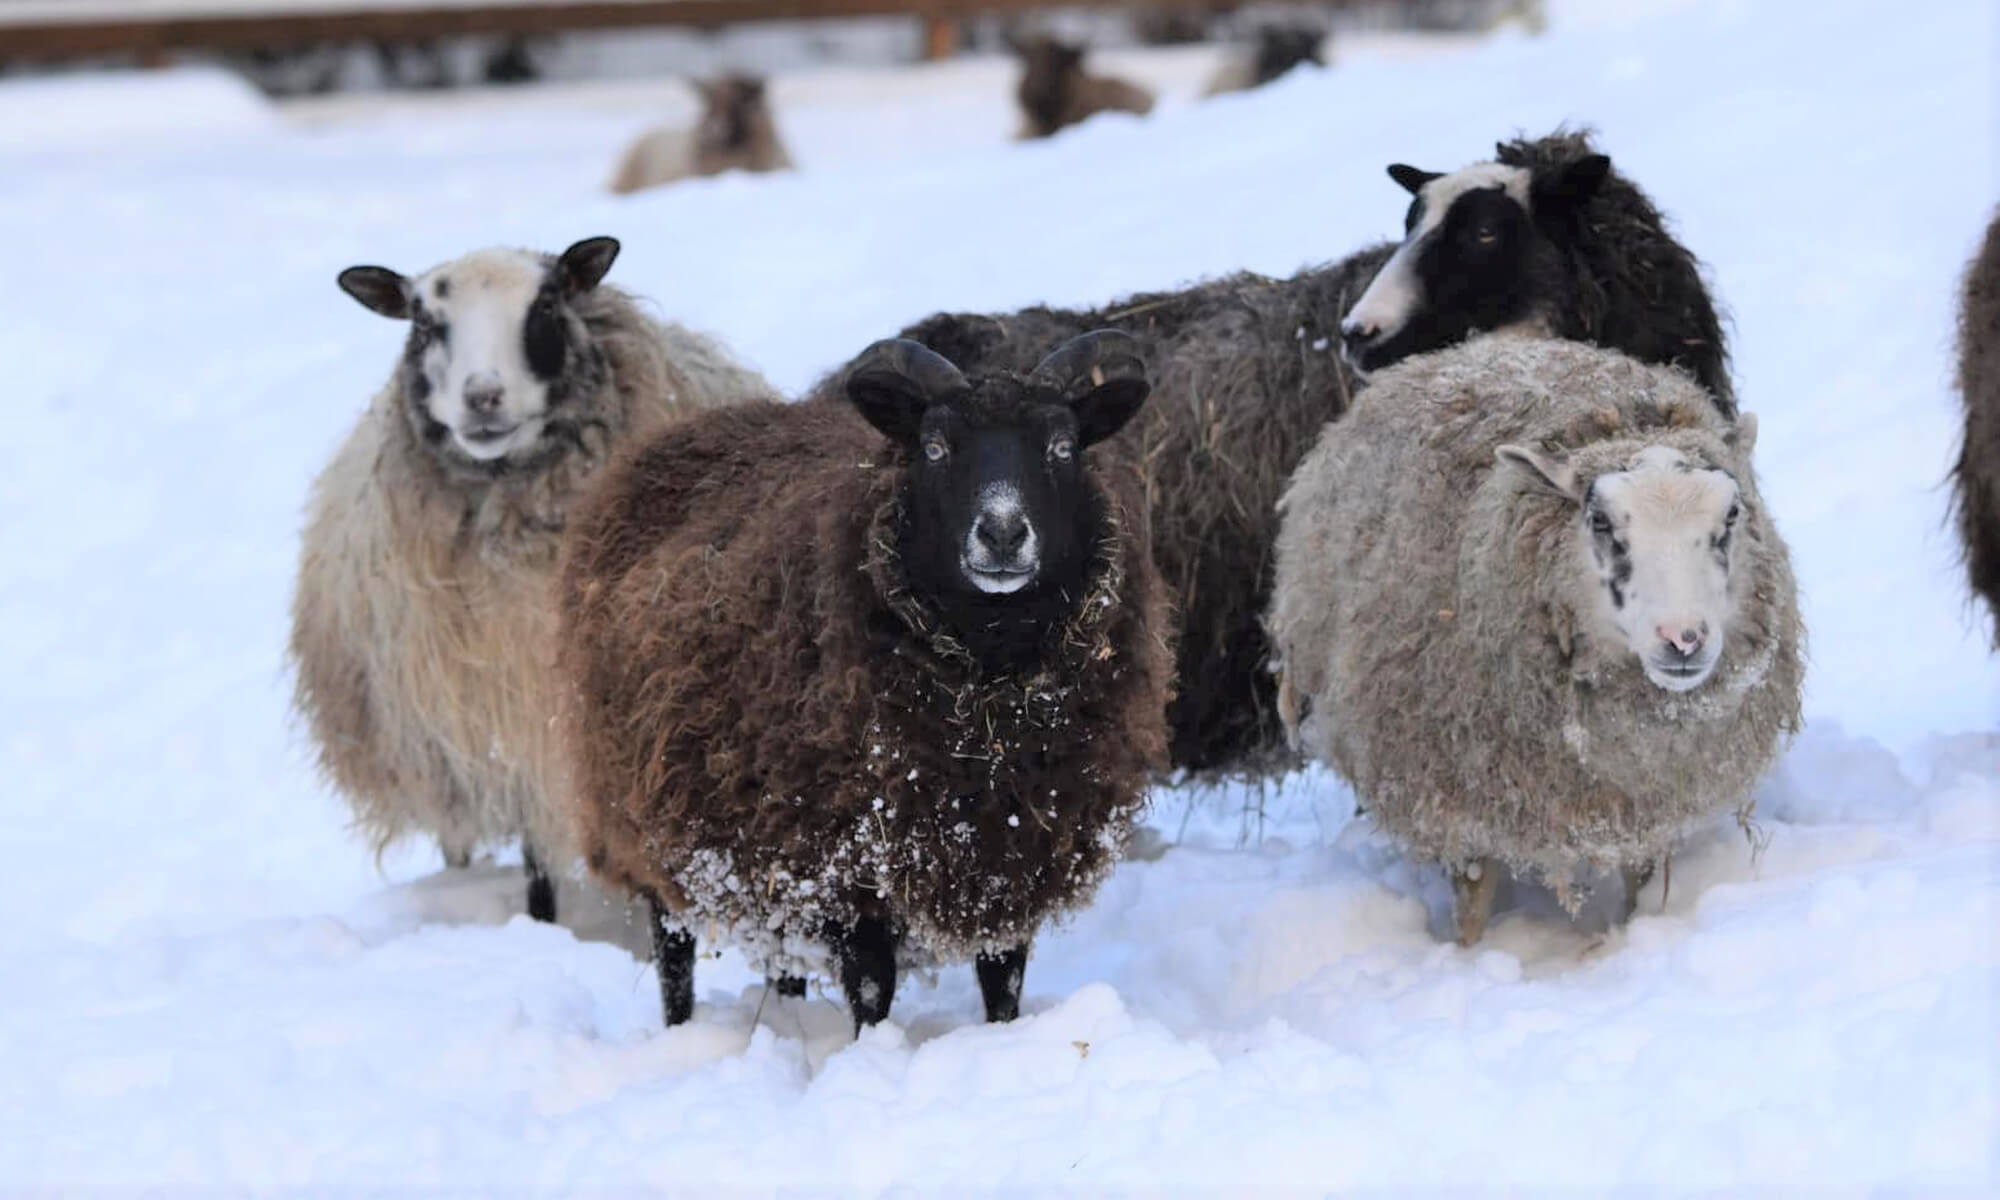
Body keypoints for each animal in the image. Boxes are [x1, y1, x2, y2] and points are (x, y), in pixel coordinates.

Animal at [554, 331, 1174, 1031]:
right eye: (934, 446)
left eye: (1062, 445)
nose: (1003, 532)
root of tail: (670, 437)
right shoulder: (849, 870)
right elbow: (873, 992)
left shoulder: (1010, 863)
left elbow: (1003, 986)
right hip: (646, 821)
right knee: (673, 954)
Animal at [1267, 336, 1805, 945]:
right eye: (1601, 522)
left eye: (1731, 515)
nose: (1683, 640)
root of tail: (1477, 343)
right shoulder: (1458, 797)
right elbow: (1473, 900)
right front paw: (1468, 956)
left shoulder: (1644, 804)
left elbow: (1641, 880)